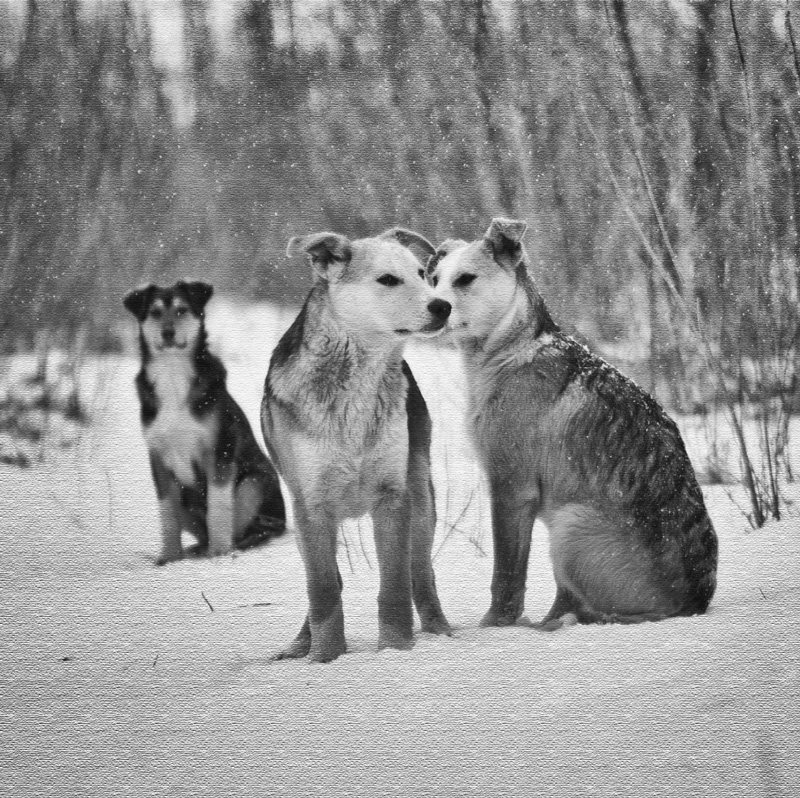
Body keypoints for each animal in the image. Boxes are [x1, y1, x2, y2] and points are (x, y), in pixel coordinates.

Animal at [123, 278, 286, 564]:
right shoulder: (158, 457)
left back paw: (233, 546)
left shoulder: (219, 449)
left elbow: (219, 507)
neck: (172, 372)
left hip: (253, 483)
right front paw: (169, 557)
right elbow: (167, 513)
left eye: (181, 310)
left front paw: (219, 552)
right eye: (154, 313)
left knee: (250, 527)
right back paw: (195, 549)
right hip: (189, 495)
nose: (167, 333)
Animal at [260, 227, 454, 664]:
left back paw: (441, 632)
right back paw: (301, 644)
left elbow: (396, 584)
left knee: (423, 574)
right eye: (388, 280)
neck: (358, 383)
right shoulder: (311, 505)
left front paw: (396, 649)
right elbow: (323, 588)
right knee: (326, 579)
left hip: (422, 498)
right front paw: (325, 658)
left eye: (422, 273)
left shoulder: (393, 496)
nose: (443, 306)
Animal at [428, 219, 720, 632]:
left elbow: (506, 576)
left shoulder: (511, 486)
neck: (513, 348)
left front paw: (496, 627)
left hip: (570, 526)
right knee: (568, 600)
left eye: (465, 279)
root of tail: (696, 601)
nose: (434, 306)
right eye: (433, 278)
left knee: (596, 611)